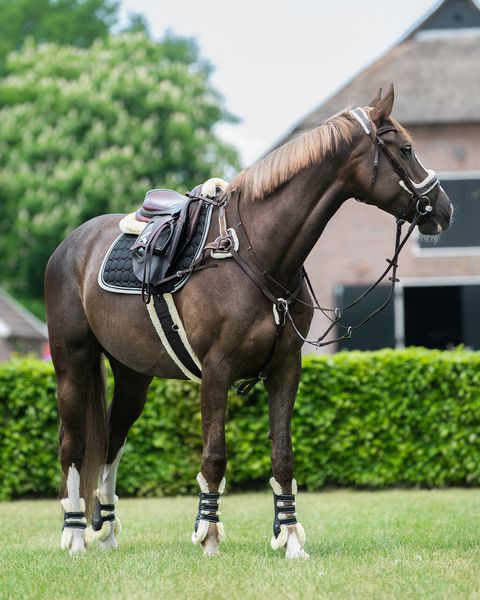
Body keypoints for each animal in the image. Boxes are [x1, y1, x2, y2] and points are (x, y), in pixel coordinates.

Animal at [44, 84, 450, 556]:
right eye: (405, 149)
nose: (445, 209)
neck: (256, 253)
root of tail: (72, 244)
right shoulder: (216, 371)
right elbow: (214, 455)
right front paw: (209, 536)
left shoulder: (285, 369)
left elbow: (283, 456)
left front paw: (290, 539)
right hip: (72, 364)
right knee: (73, 445)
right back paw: (75, 534)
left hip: (132, 376)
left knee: (111, 440)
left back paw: (106, 531)